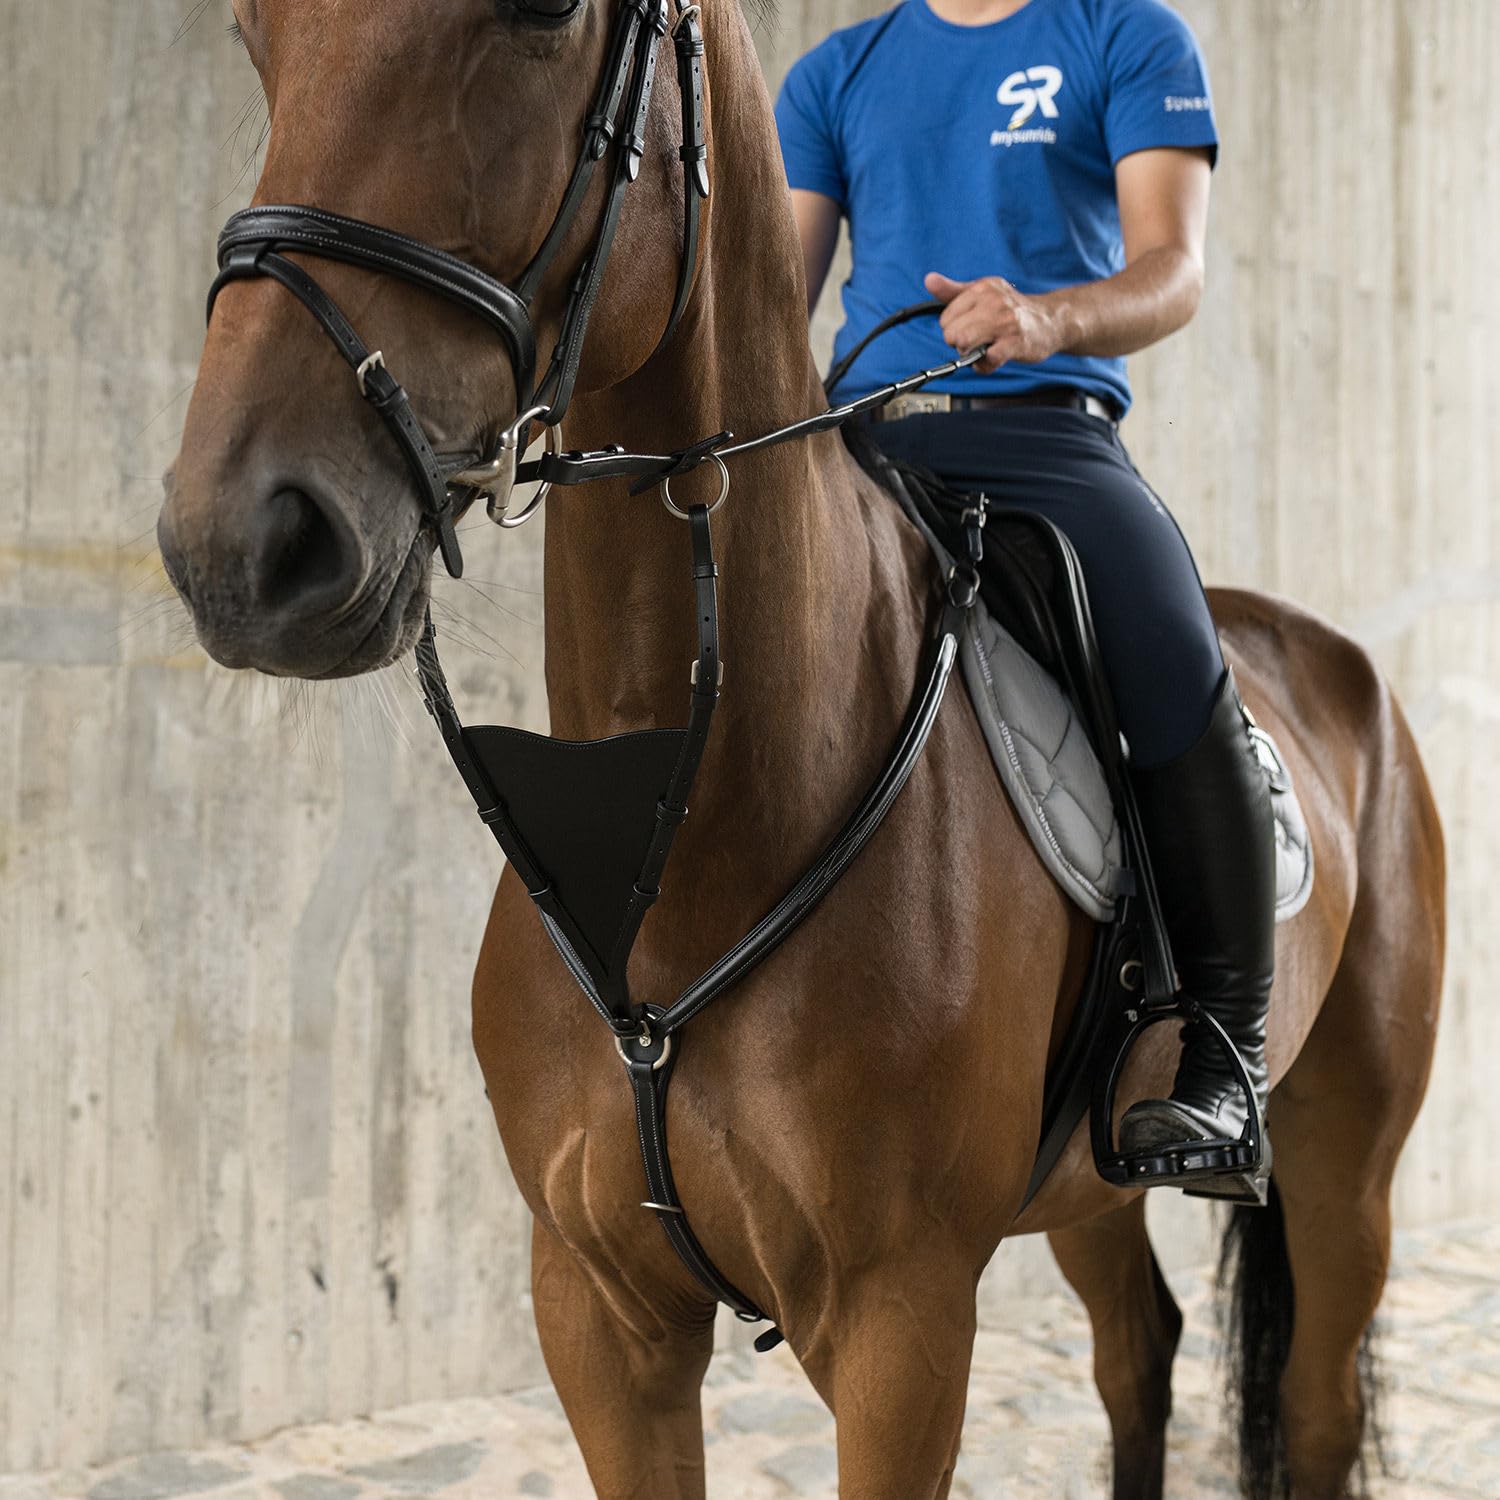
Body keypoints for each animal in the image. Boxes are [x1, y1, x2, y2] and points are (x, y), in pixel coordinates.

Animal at [158, 3, 1445, 1496]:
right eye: (256, 36)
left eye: (544, 15)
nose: (244, 544)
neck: (694, 833)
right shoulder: (599, 1315)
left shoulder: (899, 1324)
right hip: (1087, 1191)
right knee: (1139, 1348)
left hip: (1347, 1160)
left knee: (1314, 1402)